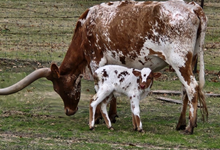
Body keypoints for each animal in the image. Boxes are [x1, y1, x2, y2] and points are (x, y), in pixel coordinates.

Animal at [0, 0, 208, 134]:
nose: (69, 111)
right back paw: (182, 123)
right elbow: (112, 91)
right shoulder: (111, 64)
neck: (85, 28)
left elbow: (97, 88)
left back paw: (189, 127)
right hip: (190, 61)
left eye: (58, 89)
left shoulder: (95, 61)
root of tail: (193, 7)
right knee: (186, 92)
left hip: (179, 61)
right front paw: (112, 115)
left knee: (191, 88)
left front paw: (99, 118)